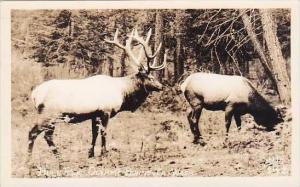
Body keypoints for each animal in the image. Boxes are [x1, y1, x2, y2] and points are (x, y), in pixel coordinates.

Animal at [27, 27, 166, 161]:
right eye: (150, 78)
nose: (161, 86)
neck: (123, 93)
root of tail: (34, 95)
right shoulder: (106, 111)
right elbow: (104, 133)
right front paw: (104, 154)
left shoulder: (94, 115)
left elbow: (94, 133)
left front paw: (91, 153)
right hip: (50, 114)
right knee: (38, 133)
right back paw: (50, 158)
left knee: (40, 134)